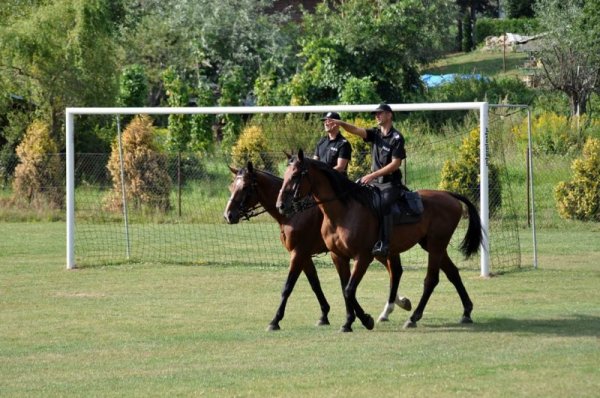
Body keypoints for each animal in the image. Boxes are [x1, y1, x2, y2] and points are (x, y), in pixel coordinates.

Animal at [223, 160, 410, 332]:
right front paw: (324, 314)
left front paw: (275, 321)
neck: (295, 213)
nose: (228, 215)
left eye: (245, 187)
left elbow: (288, 287)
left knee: (394, 271)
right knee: (395, 270)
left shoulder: (299, 253)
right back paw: (399, 303)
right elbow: (315, 284)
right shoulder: (304, 255)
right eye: (231, 187)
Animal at [276, 151, 482, 332]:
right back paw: (466, 312)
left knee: (430, 280)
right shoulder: (338, 256)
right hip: (434, 246)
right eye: (285, 175)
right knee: (452, 273)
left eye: (295, 175)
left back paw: (413, 318)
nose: (281, 205)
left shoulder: (362, 257)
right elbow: (345, 289)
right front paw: (349, 321)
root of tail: (448, 195)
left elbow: (349, 290)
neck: (343, 212)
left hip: (435, 247)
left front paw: (364, 320)